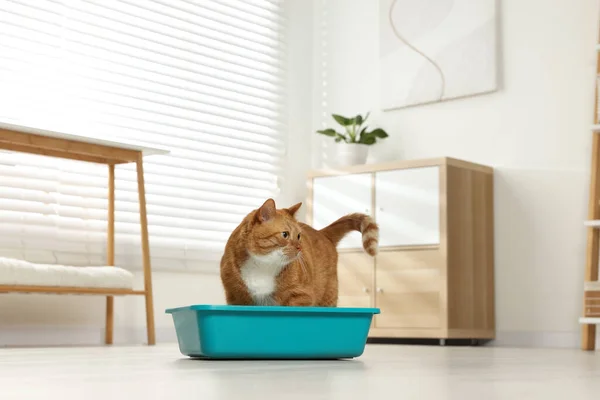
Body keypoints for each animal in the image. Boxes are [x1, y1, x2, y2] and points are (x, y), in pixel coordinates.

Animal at [220, 198, 378, 308]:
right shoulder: (235, 297)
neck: (262, 265)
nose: (299, 248)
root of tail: (322, 232)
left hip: (328, 296)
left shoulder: (302, 296)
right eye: (285, 234)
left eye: (298, 236)